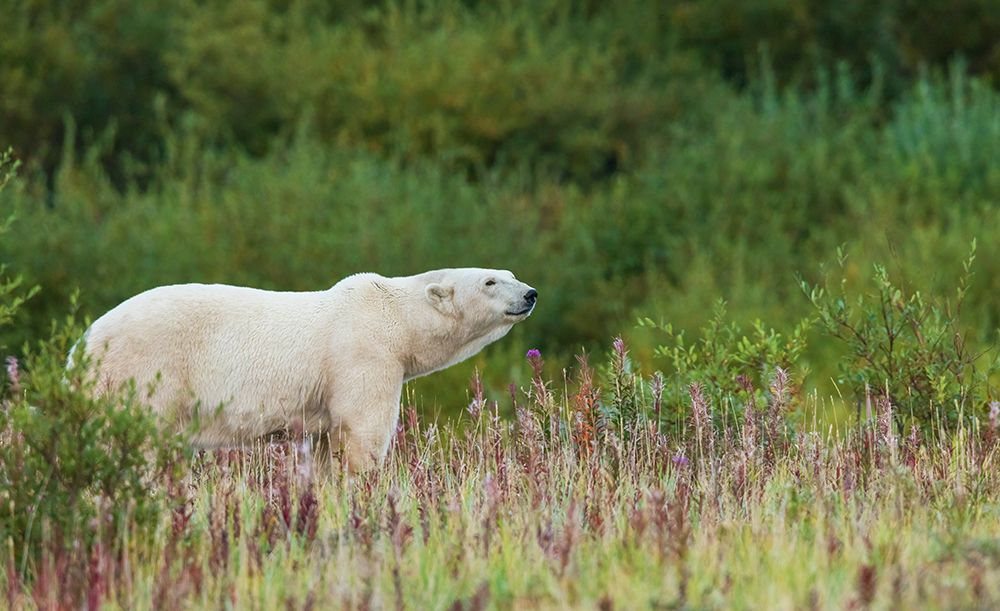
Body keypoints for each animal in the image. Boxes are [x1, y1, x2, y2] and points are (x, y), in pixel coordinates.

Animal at [79, 268, 537, 472]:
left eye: (511, 274)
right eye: (490, 282)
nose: (530, 293)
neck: (396, 316)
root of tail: (83, 344)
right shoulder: (363, 354)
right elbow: (363, 432)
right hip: (143, 371)